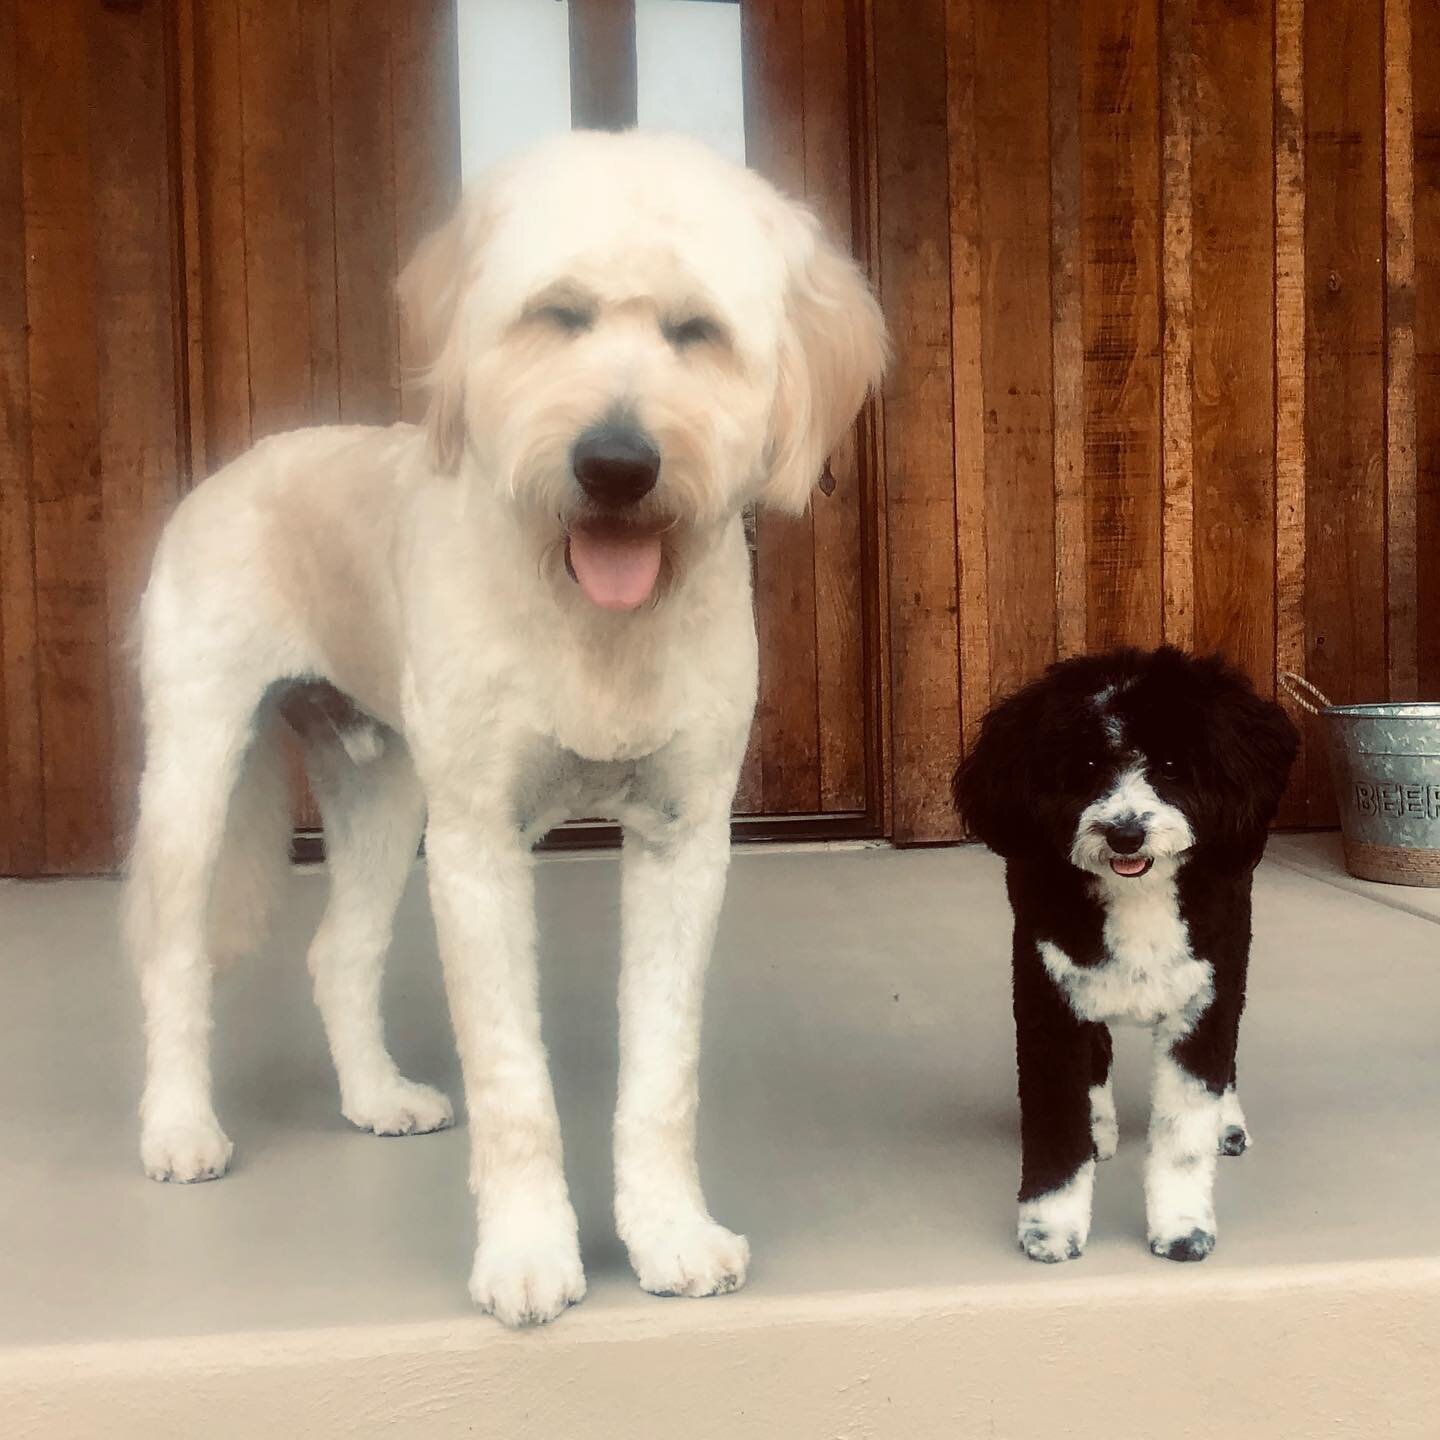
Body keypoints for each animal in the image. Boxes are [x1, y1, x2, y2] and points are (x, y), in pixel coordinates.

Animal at [126, 132, 887, 1324]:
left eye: (696, 333)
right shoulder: (480, 847)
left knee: (340, 951)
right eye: (559, 316)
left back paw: (376, 1096)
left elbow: (662, 1076)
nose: (616, 464)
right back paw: (178, 1128)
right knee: (173, 955)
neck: (594, 623)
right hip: (196, 771)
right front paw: (528, 1255)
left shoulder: (683, 840)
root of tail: (242, 462)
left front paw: (669, 1236)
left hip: (383, 794)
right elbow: (513, 1081)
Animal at [956, 648, 1296, 1267]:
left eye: (1171, 764)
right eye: (1086, 764)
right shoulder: (1050, 996)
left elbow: (1185, 1133)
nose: (1125, 833)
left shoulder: (1205, 995)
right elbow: (1056, 1124)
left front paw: (1183, 1228)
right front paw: (1052, 1227)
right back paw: (1100, 1127)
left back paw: (1228, 1123)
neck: (1138, 896)